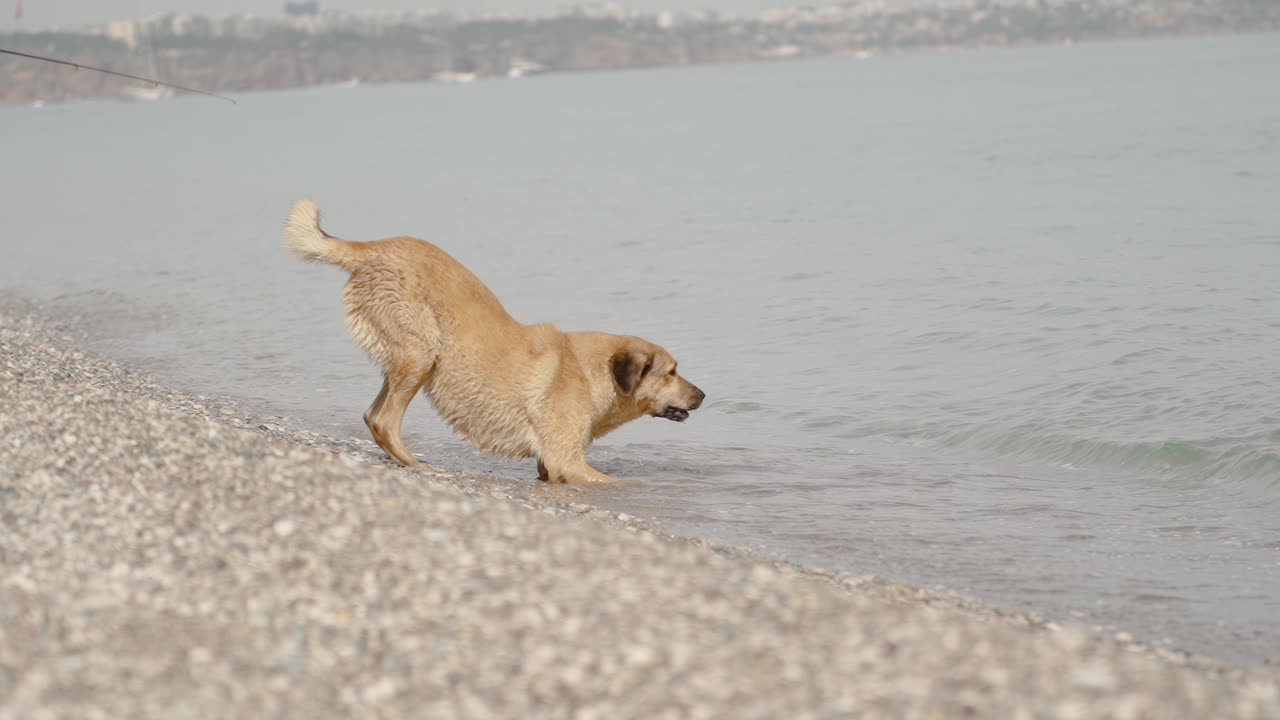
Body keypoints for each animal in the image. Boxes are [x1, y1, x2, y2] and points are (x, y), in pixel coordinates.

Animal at [284, 199, 706, 481]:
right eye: (671, 372)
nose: (703, 395)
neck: (592, 373)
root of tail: (371, 247)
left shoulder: (549, 465)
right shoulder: (566, 461)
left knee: (373, 416)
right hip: (421, 355)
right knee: (384, 420)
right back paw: (419, 464)